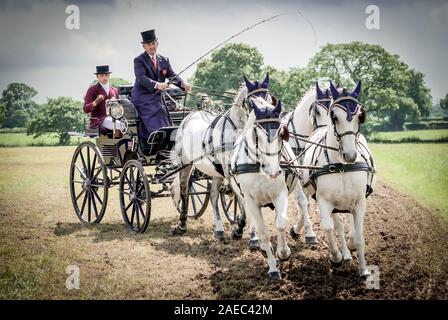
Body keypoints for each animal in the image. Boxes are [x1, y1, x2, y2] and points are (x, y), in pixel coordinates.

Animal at [172, 74, 272, 238]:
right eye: (252, 100)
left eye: (269, 98)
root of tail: (190, 116)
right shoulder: (229, 170)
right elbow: (240, 195)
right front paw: (240, 227)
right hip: (185, 164)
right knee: (184, 190)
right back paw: (182, 225)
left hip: (215, 171)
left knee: (213, 196)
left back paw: (219, 230)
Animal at [231, 95, 294, 280]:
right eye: (257, 135)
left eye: (281, 133)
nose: (273, 171)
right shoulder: (251, 200)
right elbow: (264, 233)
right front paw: (273, 268)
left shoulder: (280, 194)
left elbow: (281, 223)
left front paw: (283, 252)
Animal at [300, 80, 374, 278]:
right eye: (334, 116)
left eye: (360, 116)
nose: (350, 155)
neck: (342, 166)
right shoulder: (324, 201)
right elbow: (328, 227)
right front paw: (336, 257)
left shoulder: (360, 202)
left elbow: (359, 235)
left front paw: (364, 270)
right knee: (338, 225)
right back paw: (345, 254)